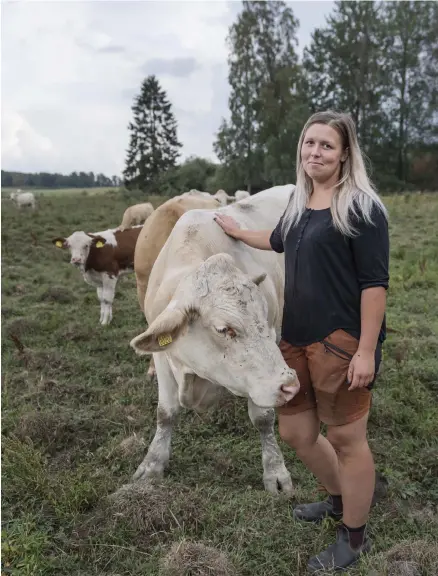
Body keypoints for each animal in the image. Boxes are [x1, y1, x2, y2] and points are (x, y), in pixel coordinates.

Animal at [130, 184, 302, 496]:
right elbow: (165, 413)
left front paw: (275, 472)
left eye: (262, 320)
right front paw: (152, 464)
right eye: (224, 329)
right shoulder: (162, 356)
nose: (290, 386)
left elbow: (263, 419)